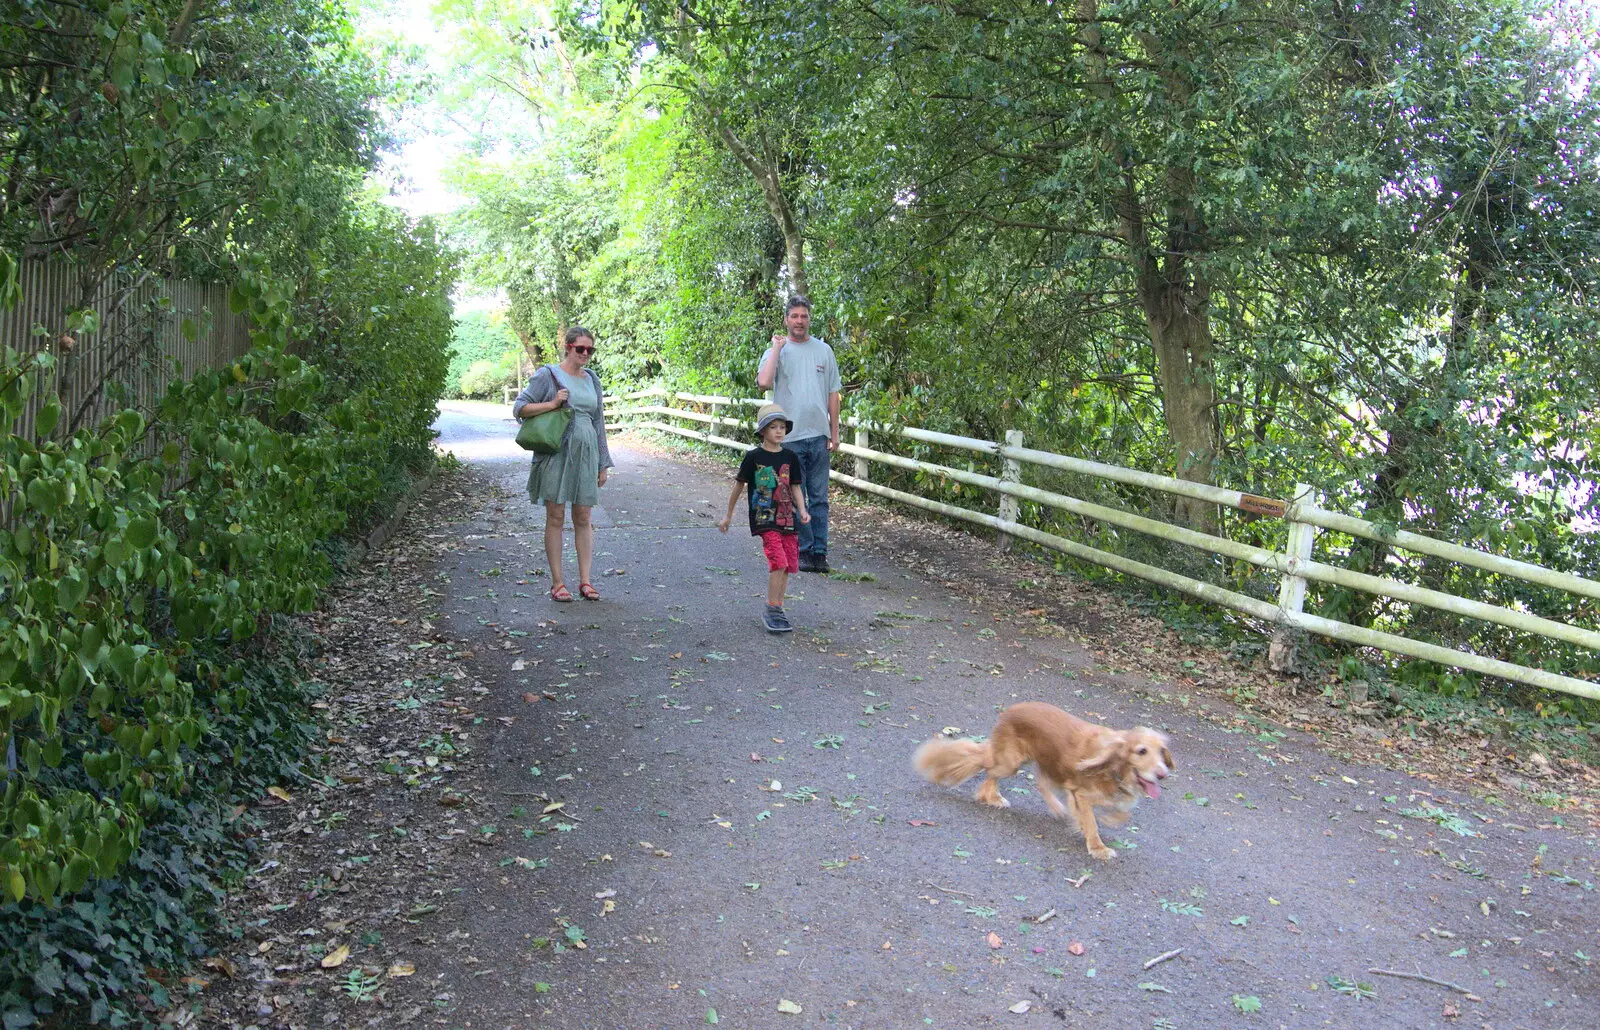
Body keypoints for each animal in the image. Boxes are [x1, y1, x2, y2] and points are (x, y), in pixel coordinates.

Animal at [915, 700, 1177, 863]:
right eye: (1141, 751)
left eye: (1162, 751)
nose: (1162, 774)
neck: (1114, 767)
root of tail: (1010, 709)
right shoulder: (1081, 794)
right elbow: (1092, 822)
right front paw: (1097, 847)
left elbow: (1122, 812)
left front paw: (1108, 819)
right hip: (1011, 762)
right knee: (988, 769)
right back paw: (992, 797)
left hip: (1043, 761)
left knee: (1040, 781)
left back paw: (1055, 807)